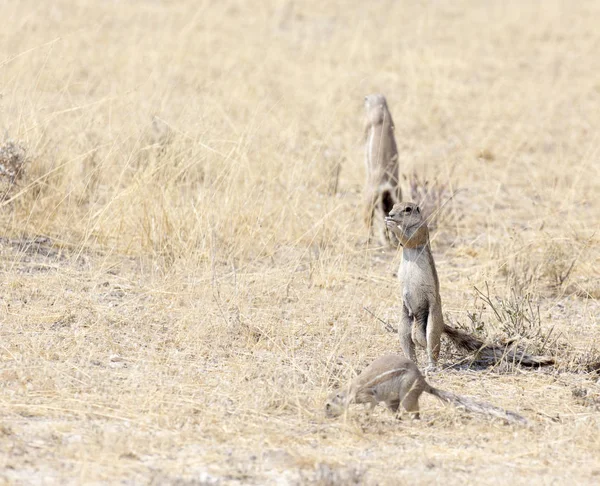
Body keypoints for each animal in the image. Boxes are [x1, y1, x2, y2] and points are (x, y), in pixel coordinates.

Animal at [326, 354, 528, 426]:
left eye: (328, 405)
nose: (325, 415)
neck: (349, 391)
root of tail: (423, 382)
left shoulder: (368, 395)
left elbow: (370, 405)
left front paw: (365, 417)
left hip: (407, 395)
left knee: (414, 411)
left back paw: (413, 421)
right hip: (393, 400)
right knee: (397, 412)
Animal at [360, 93, 404, 249]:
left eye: (366, 99)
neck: (382, 109)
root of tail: (386, 183)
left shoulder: (371, 119)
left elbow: (365, 130)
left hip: (370, 195)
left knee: (368, 218)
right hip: (395, 196)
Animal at [386, 201, 556, 368]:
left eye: (407, 209)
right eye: (393, 206)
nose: (390, 214)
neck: (409, 225)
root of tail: (441, 324)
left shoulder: (420, 231)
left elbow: (409, 240)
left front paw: (392, 225)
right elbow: (402, 243)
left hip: (433, 320)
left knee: (431, 346)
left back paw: (431, 367)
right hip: (403, 322)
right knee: (409, 343)